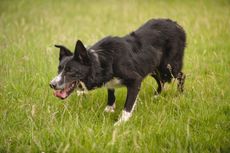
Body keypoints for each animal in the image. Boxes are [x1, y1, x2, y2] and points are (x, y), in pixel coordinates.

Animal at [49, 18, 186, 125]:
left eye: (70, 71)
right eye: (59, 69)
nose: (52, 85)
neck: (101, 61)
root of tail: (177, 25)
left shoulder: (135, 79)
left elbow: (128, 105)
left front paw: (121, 123)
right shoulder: (112, 80)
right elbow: (111, 92)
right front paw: (109, 110)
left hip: (168, 67)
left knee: (181, 76)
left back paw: (179, 95)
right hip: (153, 67)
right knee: (161, 81)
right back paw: (157, 96)